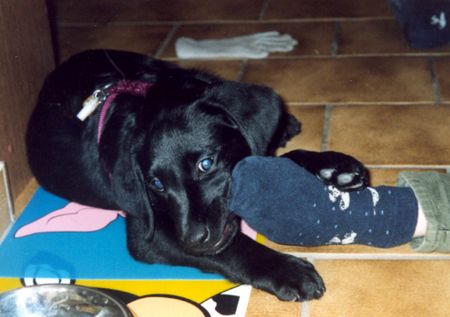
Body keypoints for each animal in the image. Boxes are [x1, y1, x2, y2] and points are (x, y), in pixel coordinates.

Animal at [26, 50, 368, 302]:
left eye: (206, 164)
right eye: (156, 184)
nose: (193, 240)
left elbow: (278, 158)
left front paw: (332, 166)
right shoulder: (148, 234)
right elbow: (235, 247)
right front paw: (285, 269)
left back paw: (287, 125)